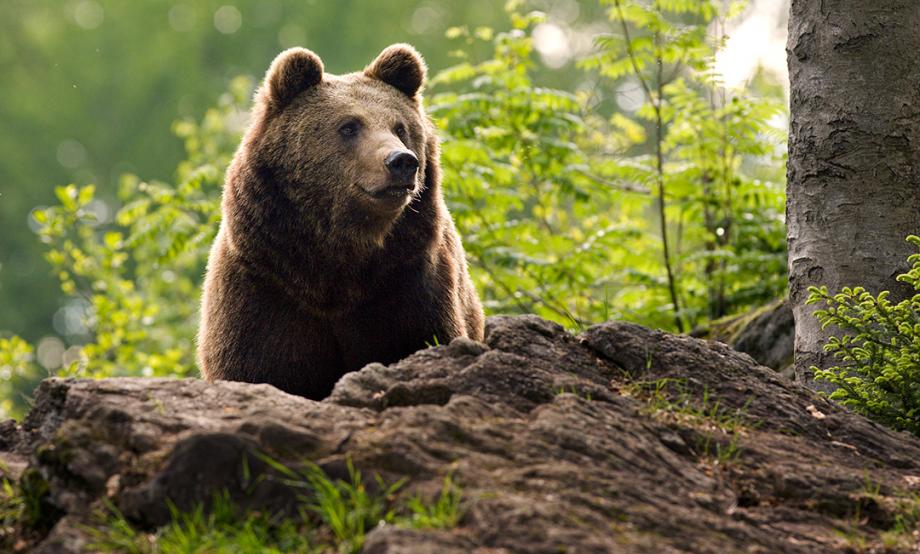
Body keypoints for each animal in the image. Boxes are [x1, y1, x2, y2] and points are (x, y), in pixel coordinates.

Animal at [197, 44, 485, 399]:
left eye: (400, 127)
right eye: (349, 126)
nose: (402, 161)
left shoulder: (407, 279)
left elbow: (422, 337)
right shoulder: (264, 285)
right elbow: (257, 364)